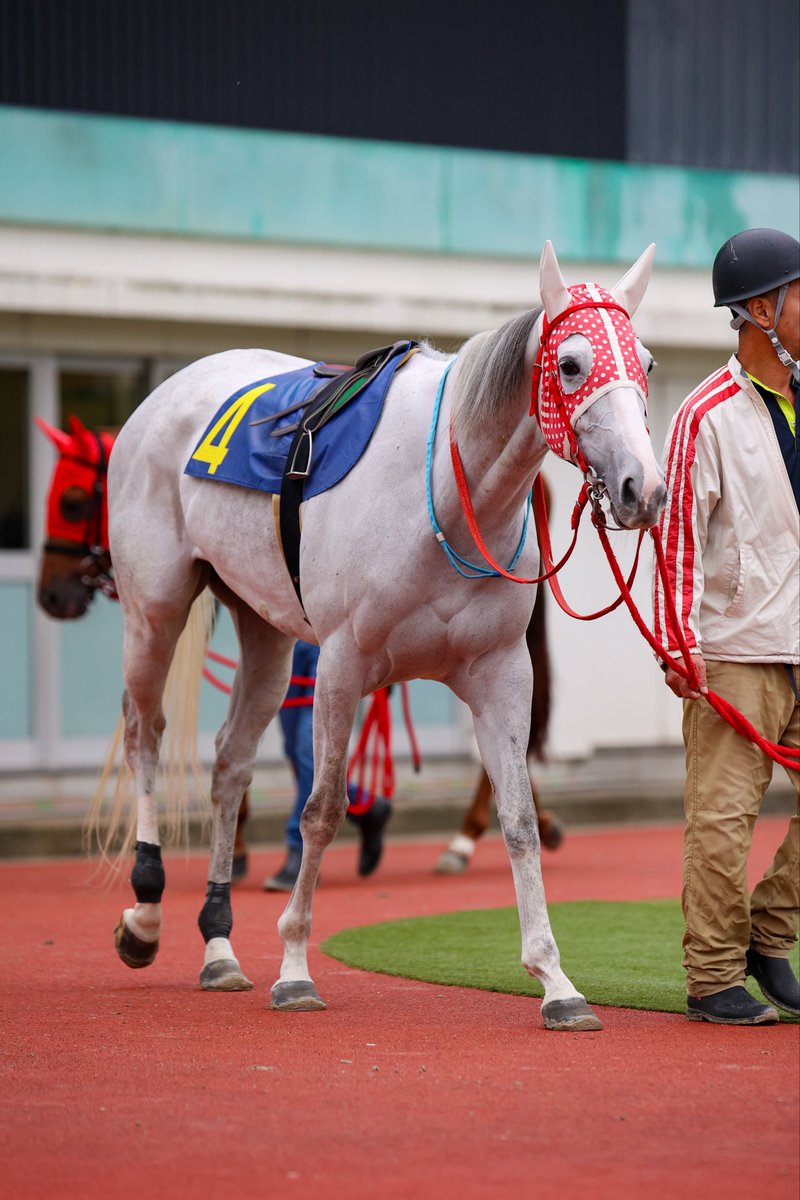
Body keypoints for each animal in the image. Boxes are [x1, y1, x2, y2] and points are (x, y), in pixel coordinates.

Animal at [102, 241, 665, 1031]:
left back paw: (218, 947)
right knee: (144, 735)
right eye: (571, 364)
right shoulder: (342, 663)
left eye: (645, 361)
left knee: (230, 764)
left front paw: (556, 981)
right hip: (154, 609)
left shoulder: (501, 672)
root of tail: (170, 390)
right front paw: (296, 967)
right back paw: (147, 913)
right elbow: (322, 809)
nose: (643, 487)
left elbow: (520, 817)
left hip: (266, 630)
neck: (445, 494)